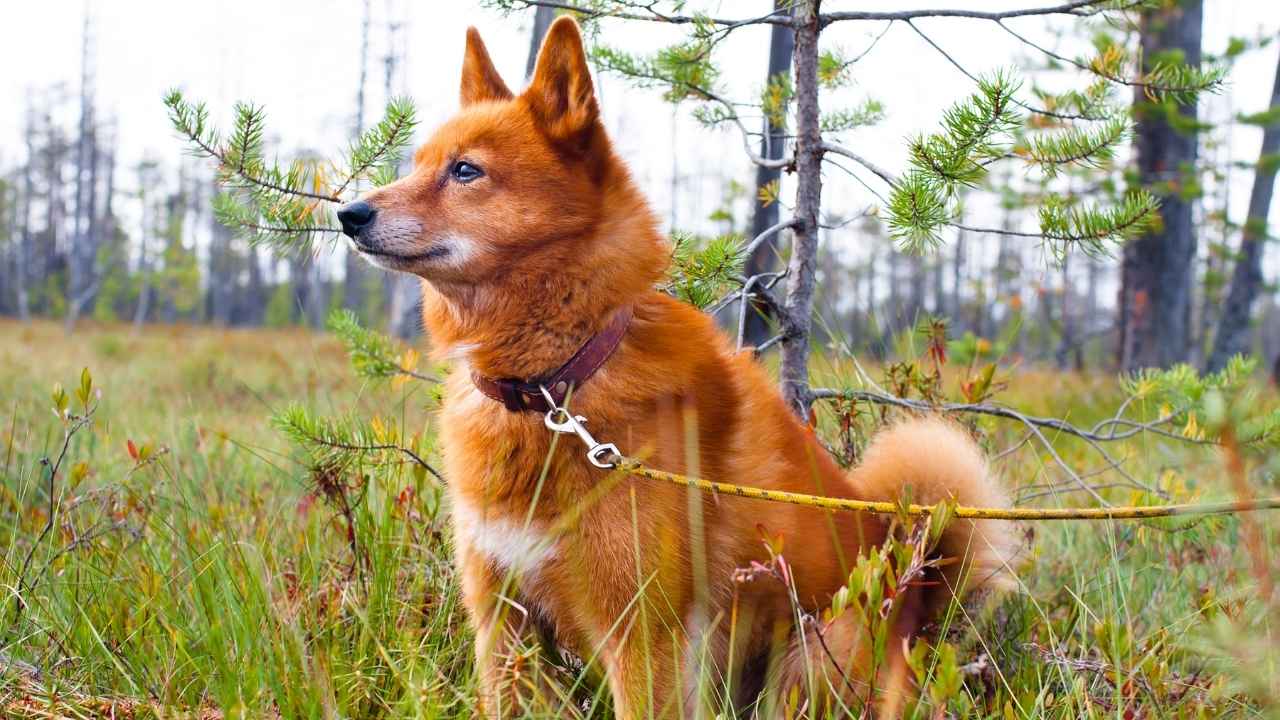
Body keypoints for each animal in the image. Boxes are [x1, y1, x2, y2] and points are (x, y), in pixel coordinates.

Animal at [337, 18, 1008, 717]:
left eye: (465, 170)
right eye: (417, 164)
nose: (348, 214)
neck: (556, 385)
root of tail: (918, 600)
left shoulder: (643, 635)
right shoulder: (503, 627)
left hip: (810, 660)